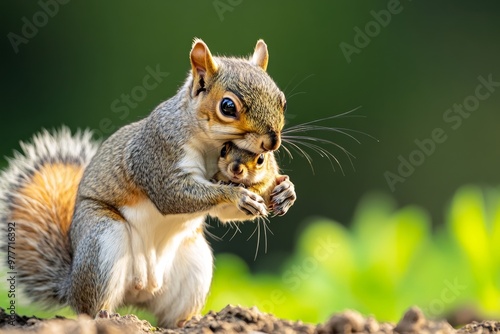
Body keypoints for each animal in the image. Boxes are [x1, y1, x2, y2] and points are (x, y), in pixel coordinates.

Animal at [0, 39, 294, 328]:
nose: (272, 142)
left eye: (282, 101)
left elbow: (225, 212)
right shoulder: (157, 153)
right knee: (88, 307)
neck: (211, 146)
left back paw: (190, 321)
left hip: (195, 262)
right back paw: (105, 315)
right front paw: (238, 196)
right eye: (228, 107)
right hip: (102, 241)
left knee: (170, 317)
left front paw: (285, 192)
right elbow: (171, 195)